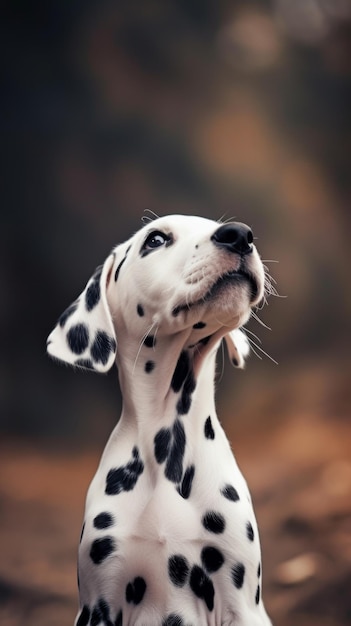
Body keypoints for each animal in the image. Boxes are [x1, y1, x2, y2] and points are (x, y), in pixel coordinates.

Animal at [46, 216, 272, 624]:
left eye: (217, 225)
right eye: (155, 239)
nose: (239, 234)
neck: (167, 443)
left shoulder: (244, 606)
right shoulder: (97, 605)